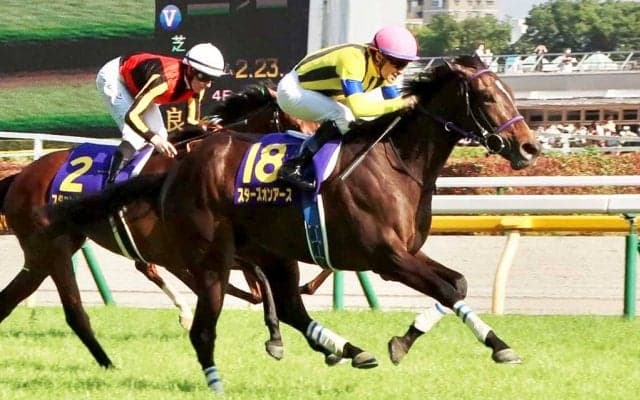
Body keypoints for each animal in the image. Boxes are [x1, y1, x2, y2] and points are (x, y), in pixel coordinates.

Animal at [0, 84, 301, 368]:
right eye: (293, 120)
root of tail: (21, 176)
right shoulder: (188, 250)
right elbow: (251, 278)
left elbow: (259, 277)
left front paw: (275, 334)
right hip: (54, 250)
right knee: (74, 311)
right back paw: (109, 364)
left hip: (45, 254)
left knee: (13, 295)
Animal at [40, 56, 541, 394]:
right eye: (487, 97)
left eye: (511, 94)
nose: (530, 148)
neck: (396, 162)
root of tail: (175, 170)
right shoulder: (385, 257)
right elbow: (445, 287)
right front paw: (431, 342)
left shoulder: (406, 252)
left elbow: (455, 285)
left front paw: (430, 341)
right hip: (215, 253)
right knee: (219, 306)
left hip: (271, 252)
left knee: (286, 304)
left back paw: (345, 350)